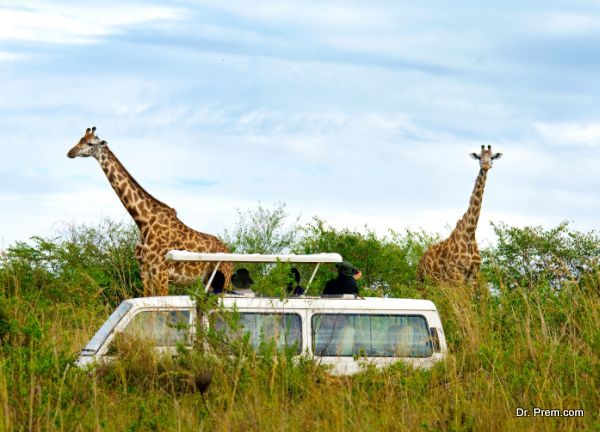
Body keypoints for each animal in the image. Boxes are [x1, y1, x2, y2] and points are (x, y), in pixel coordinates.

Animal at [67, 126, 232, 296]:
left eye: (90, 143)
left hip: (224, 278)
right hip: (209, 281)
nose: (70, 152)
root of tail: (228, 250)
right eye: (80, 139)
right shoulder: (145, 272)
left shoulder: (161, 272)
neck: (143, 221)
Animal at [418, 145, 502, 286]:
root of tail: (421, 259)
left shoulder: (473, 275)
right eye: (479, 157)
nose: (485, 165)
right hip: (422, 279)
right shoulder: (456, 274)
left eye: (492, 157)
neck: (470, 232)